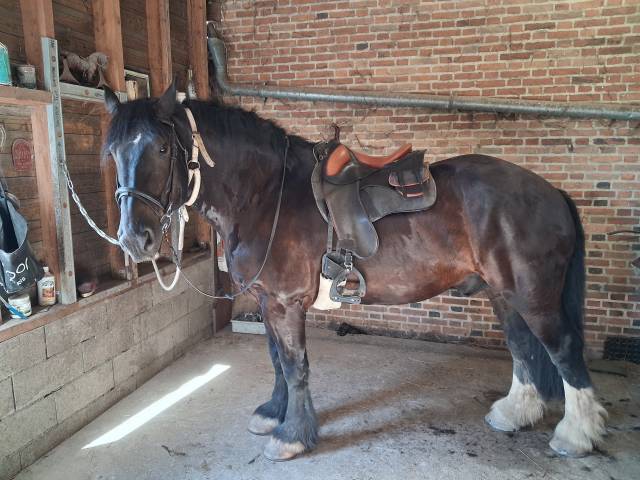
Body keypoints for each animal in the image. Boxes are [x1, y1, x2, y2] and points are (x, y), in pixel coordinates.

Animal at [102, 83, 607, 462]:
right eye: (112, 154)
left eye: (161, 147)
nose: (134, 240)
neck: (266, 195)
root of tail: (550, 191)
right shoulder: (267, 300)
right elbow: (277, 360)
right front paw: (274, 414)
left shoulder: (286, 302)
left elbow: (295, 367)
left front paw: (292, 437)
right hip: (503, 293)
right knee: (522, 348)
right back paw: (513, 414)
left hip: (533, 293)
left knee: (563, 350)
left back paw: (575, 436)